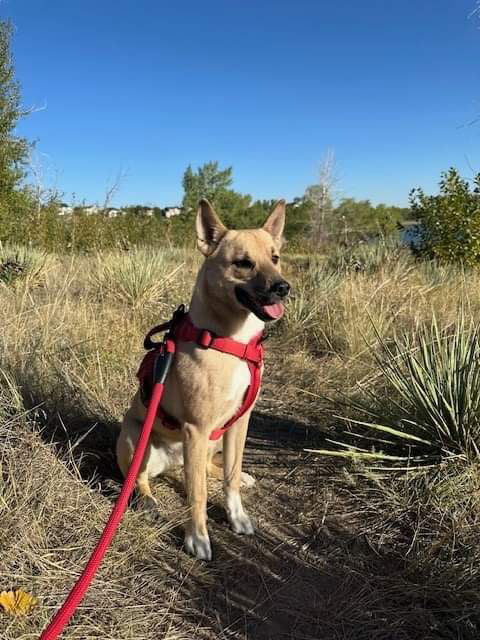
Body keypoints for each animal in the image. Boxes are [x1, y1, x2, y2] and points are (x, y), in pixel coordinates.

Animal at [116, 198, 290, 556]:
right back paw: (147, 500)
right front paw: (196, 537)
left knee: (211, 469)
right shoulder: (196, 429)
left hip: (210, 442)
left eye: (275, 257)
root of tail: (171, 463)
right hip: (137, 440)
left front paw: (237, 516)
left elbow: (230, 477)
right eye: (243, 263)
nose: (283, 288)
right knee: (138, 479)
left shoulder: (239, 423)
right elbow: (196, 494)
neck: (232, 341)